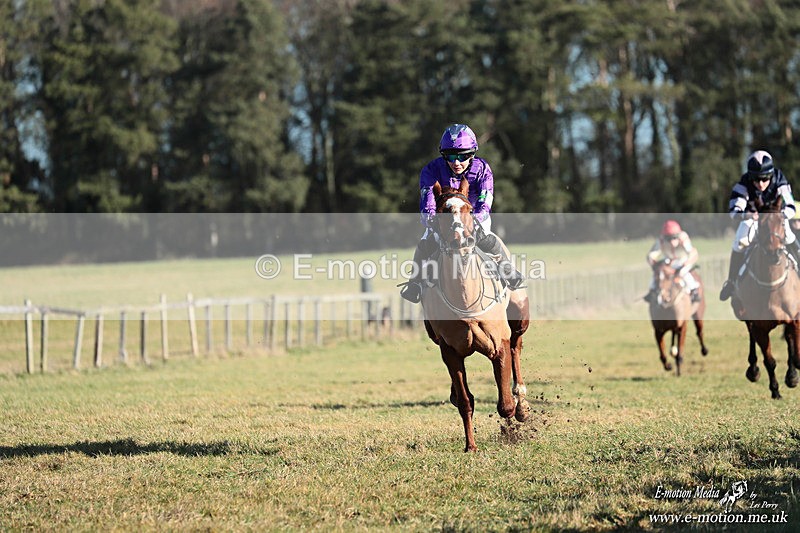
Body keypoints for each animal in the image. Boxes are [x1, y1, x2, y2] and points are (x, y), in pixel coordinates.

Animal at [420, 178, 530, 452]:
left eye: (469, 209)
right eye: (442, 211)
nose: (461, 240)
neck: (465, 299)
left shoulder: (498, 343)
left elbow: (505, 405)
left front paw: (515, 415)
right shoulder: (450, 351)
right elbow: (465, 401)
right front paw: (470, 446)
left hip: (519, 317)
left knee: (516, 346)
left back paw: (522, 402)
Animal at [732, 196, 800, 399]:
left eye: (782, 223)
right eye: (761, 225)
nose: (773, 253)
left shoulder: (794, 319)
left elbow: (795, 353)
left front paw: (792, 376)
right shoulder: (760, 327)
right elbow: (769, 360)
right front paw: (775, 390)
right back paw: (753, 370)